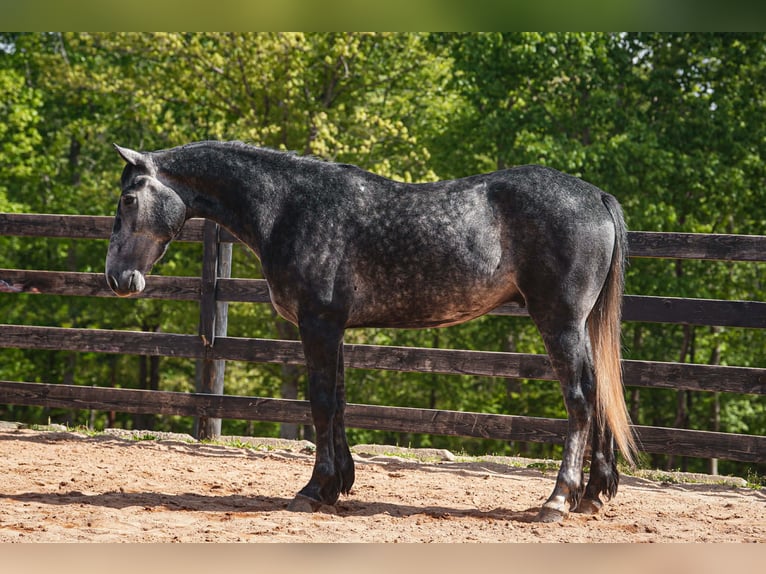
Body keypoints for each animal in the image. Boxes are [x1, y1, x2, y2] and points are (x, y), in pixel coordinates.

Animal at [105, 140, 637, 523]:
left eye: (129, 198)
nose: (117, 279)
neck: (289, 206)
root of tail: (596, 196)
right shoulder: (334, 327)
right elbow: (338, 402)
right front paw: (338, 486)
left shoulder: (318, 324)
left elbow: (320, 402)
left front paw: (313, 489)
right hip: (579, 326)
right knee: (599, 393)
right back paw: (593, 495)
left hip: (560, 322)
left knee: (580, 400)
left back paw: (558, 500)